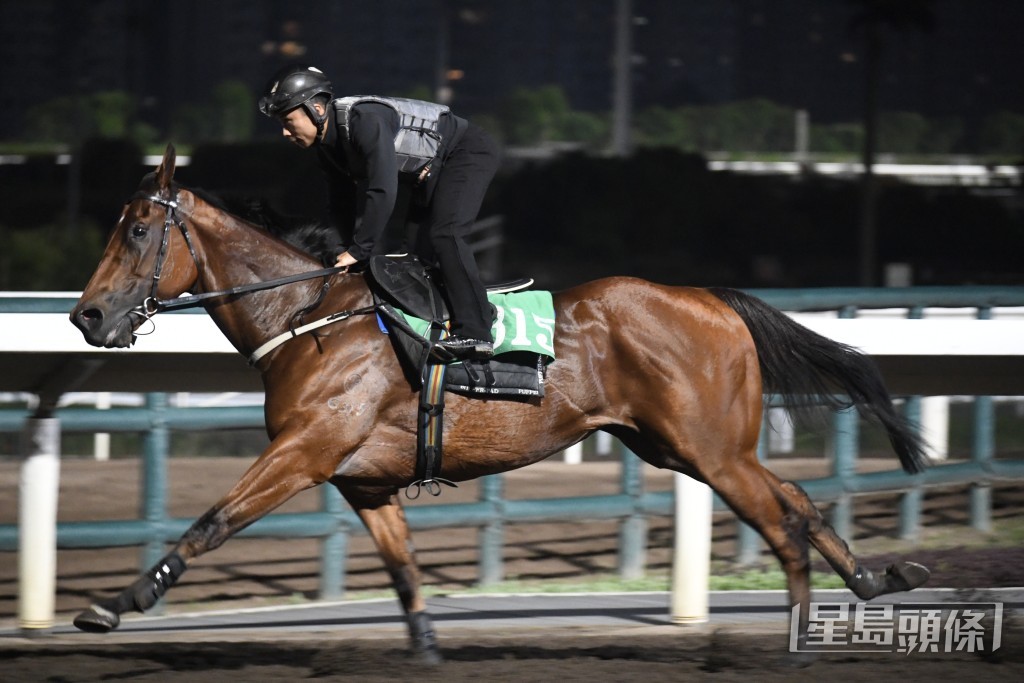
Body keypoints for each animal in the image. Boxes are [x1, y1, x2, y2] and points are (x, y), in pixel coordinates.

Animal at [66, 144, 929, 663]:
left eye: (136, 230)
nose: (87, 317)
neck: (308, 315)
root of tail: (713, 298)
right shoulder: (363, 480)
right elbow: (405, 570)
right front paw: (425, 648)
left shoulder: (304, 451)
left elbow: (212, 520)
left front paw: (115, 603)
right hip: (687, 445)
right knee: (800, 501)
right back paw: (876, 578)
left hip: (712, 450)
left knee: (784, 523)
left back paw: (799, 638)